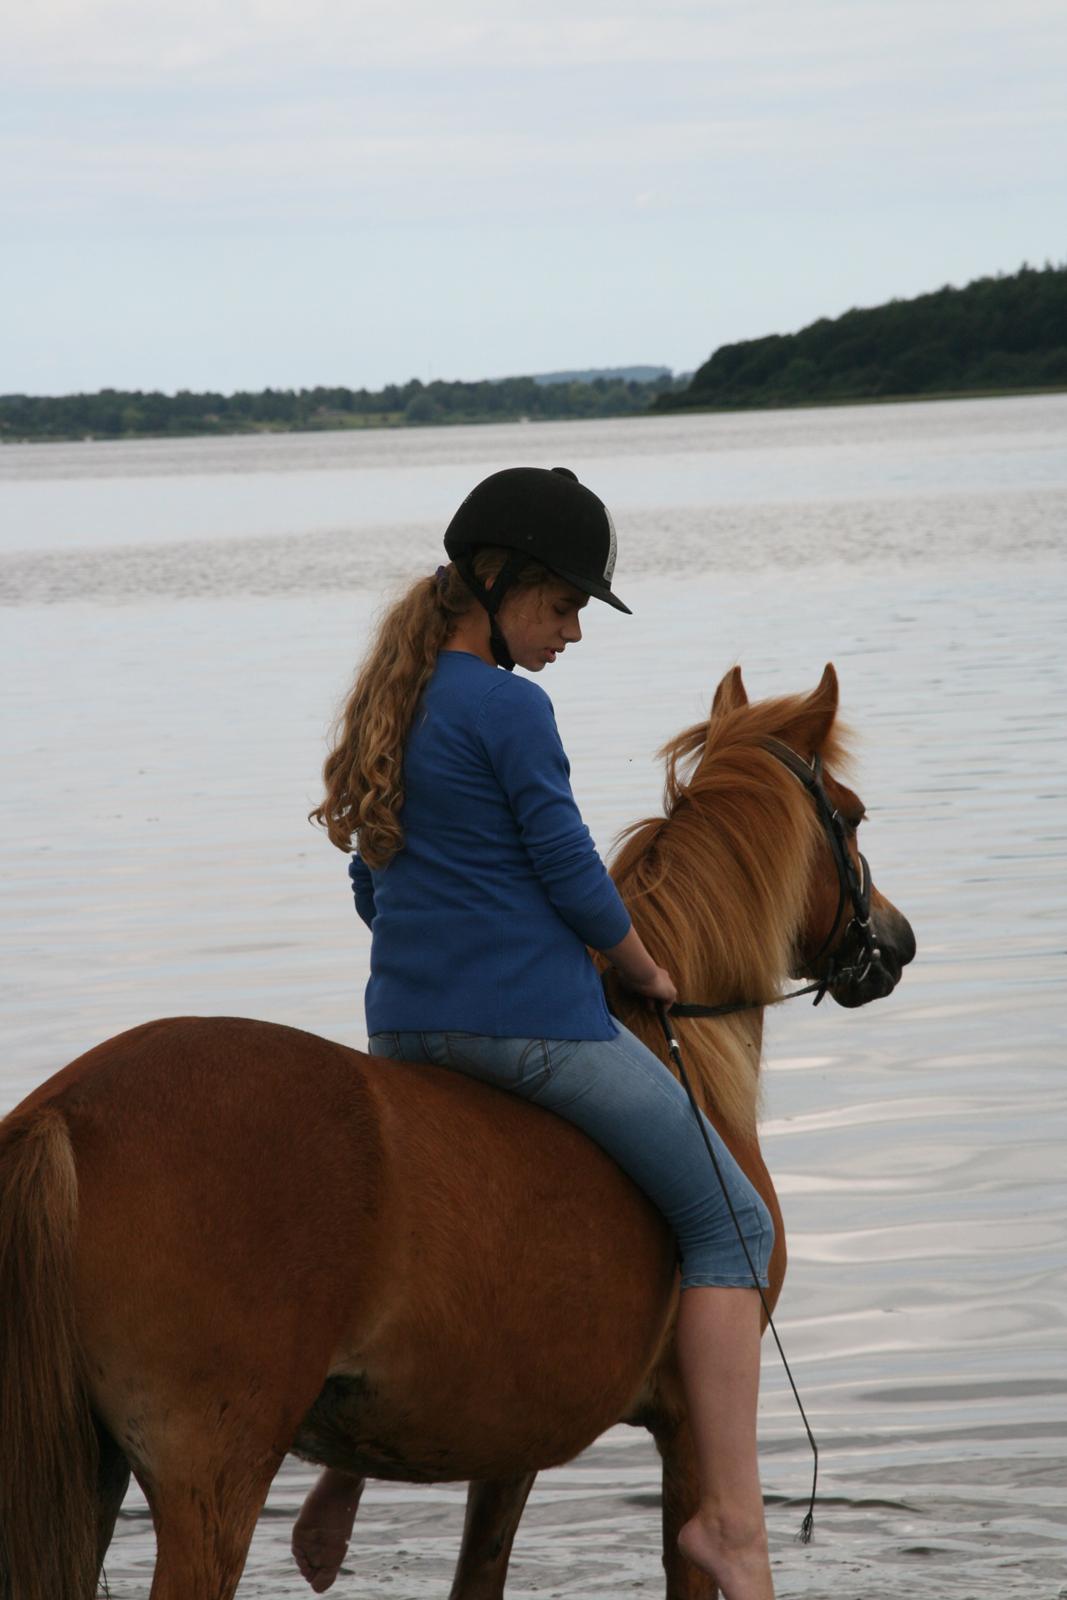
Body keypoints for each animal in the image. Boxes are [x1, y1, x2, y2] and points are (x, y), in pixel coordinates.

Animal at [0, 662, 921, 1600]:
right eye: (850, 816)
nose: (897, 939)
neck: (676, 1052)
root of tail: (65, 1112)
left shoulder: (514, 1439)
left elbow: (480, 1571)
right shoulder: (687, 1422)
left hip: (91, 1471)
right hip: (211, 1483)